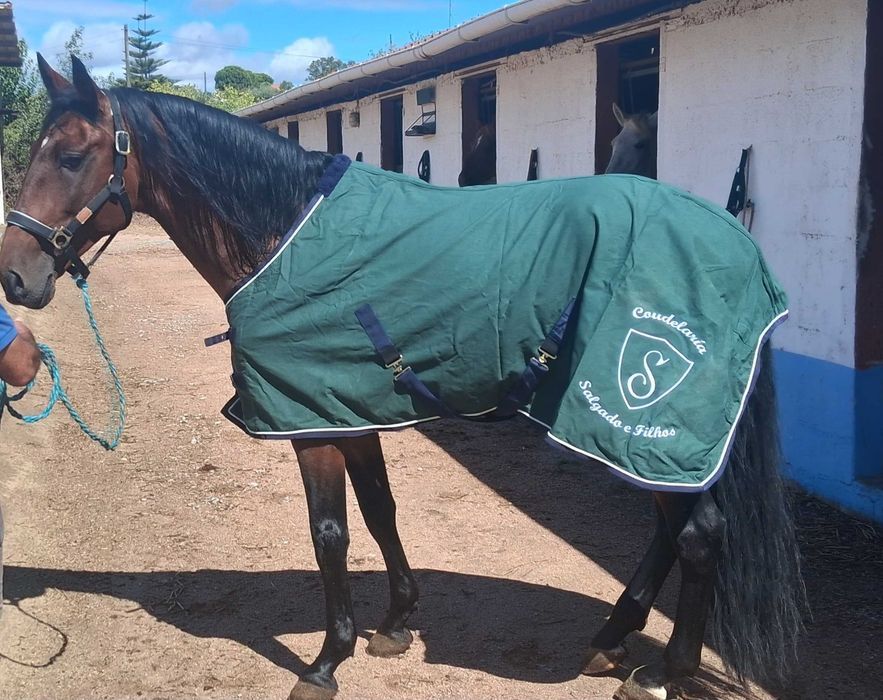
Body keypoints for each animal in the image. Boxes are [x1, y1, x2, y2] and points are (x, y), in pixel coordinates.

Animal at [0, 56, 805, 700]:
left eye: (72, 155)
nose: (16, 277)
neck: (287, 234)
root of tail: (736, 243)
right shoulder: (347, 409)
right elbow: (380, 511)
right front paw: (393, 623)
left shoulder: (311, 422)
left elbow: (329, 533)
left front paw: (325, 662)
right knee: (671, 533)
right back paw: (612, 641)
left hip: (634, 424)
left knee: (698, 535)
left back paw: (664, 675)